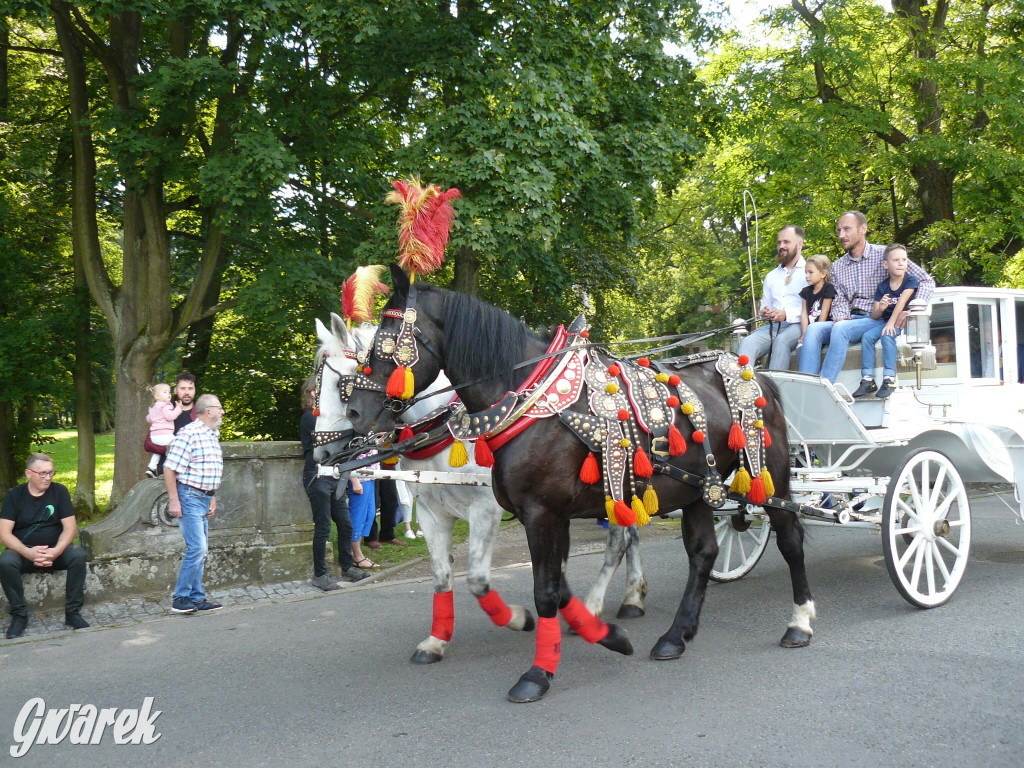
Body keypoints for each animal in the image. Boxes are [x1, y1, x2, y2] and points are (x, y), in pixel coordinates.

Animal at [311, 313, 647, 663]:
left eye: (341, 386)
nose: (320, 453)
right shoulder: (431, 512)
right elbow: (442, 576)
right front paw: (436, 640)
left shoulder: (487, 508)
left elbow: (477, 578)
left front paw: (520, 618)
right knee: (631, 535)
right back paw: (632, 598)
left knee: (620, 540)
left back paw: (595, 606)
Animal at [348, 268, 811, 708]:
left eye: (385, 339)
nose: (354, 411)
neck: (532, 400)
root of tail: (755, 371)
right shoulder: (546, 514)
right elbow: (554, 584)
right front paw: (605, 634)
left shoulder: (538, 513)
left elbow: (545, 591)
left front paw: (538, 673)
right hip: (698, 488)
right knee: (703, 554)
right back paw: (675, 635)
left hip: (769, 474)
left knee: (789, 538)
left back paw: (800, 622)